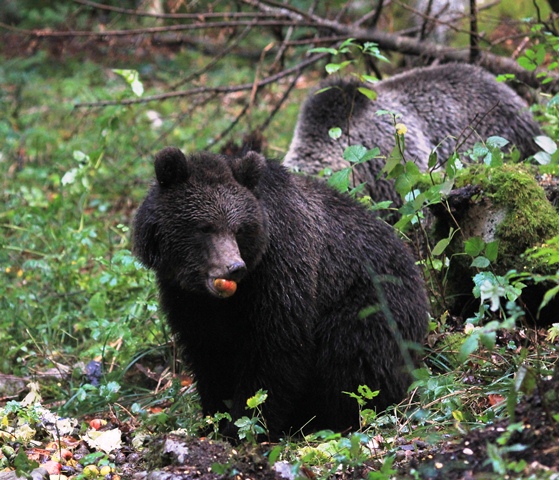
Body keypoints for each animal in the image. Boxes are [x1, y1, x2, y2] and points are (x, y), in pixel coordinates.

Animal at [133, 147, 430, 438]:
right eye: (204, 227)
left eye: (239, 229)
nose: (234, 268)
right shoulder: (185, 297)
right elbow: (208, 352)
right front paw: (213, 419)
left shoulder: (280, 270)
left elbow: (276, 349)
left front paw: (244, 426)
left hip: (370, 303)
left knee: (352, 358)